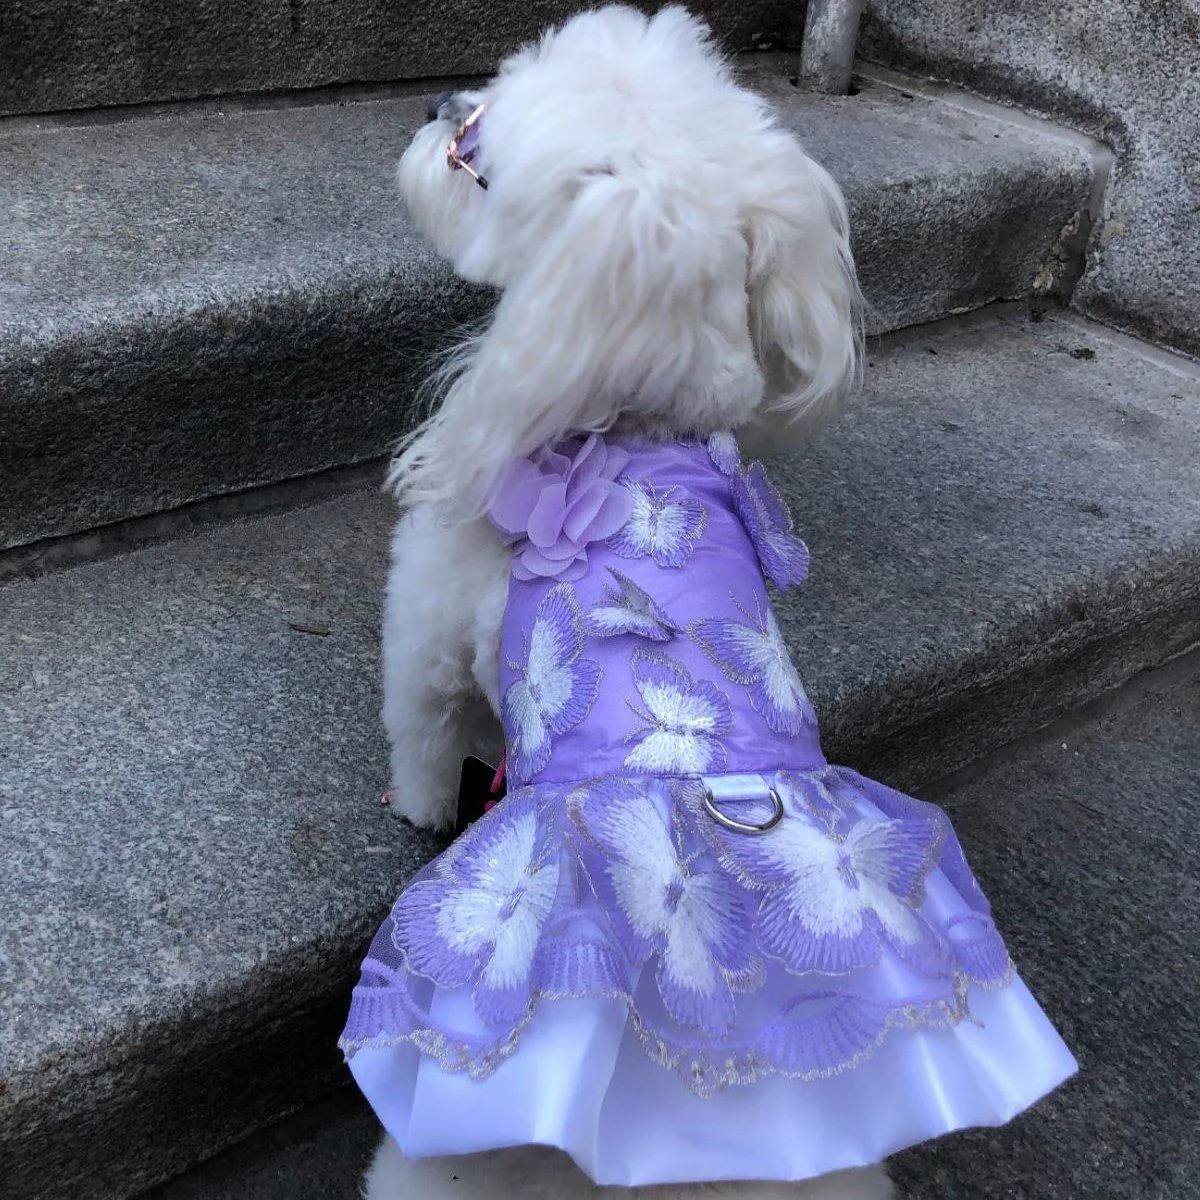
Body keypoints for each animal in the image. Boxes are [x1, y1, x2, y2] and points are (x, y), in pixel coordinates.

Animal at [369, 4, 878, 1195]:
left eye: (476, 152)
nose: (436, 106)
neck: (625, 427)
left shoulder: (428, 616)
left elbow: (422, 726)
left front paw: (419, 807)